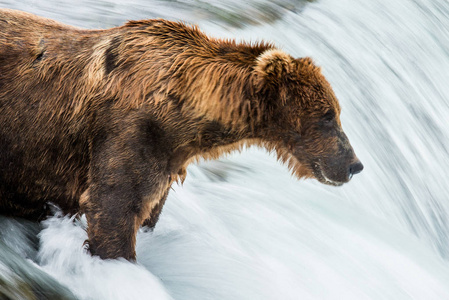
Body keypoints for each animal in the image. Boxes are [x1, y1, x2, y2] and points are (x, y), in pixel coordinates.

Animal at [0, 7, 362, 260]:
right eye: (328, 116)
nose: (354, 164)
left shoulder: (167, 160)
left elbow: (148, 213)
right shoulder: (128, 134)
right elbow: (113, 208)